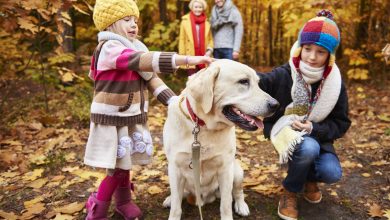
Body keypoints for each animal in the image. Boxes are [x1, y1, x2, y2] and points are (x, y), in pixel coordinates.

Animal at [163, 59, 278, 219]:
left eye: (258, 83)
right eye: (243, 81)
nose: (276, 105)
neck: (204, 127)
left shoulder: (225, 169)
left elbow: (226, 204)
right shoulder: (175, 168)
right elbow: (176, 206)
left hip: (237, 171)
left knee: (237, 192)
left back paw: (241, 206)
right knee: (178, 196)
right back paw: (169, 199)